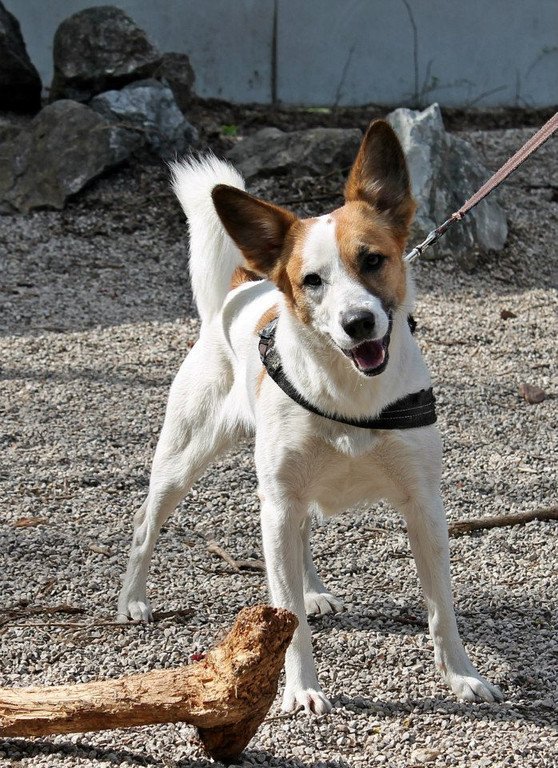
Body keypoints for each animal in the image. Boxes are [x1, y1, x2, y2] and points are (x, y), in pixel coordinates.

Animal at [117, 120, 502, 713]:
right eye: (313, 280)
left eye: (373, 260)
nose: (358, 323)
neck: (352, 398)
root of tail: (242, 287)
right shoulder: (276, 503)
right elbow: (286, 615)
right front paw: (300, 688)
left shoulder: (424, 505)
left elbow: (442, 609)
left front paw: (461, 676)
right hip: (184, 461)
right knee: (146, 522)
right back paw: (133, 599)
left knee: (299, 542)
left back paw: (315, 590)